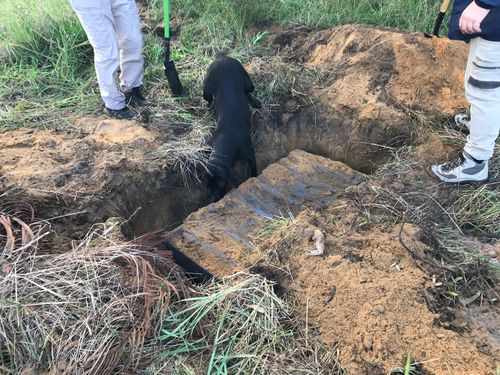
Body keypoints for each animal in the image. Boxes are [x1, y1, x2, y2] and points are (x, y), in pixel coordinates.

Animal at [204, 55, 264, 203]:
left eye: (220, 185)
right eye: (207, 186)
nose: (210, 200)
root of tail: (222, 57)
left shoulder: (250, 154)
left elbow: (253, 170)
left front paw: (255, 178)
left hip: (248, 82)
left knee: (247, 91)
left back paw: (255, 102)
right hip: (207, 90)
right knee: (210, 99)